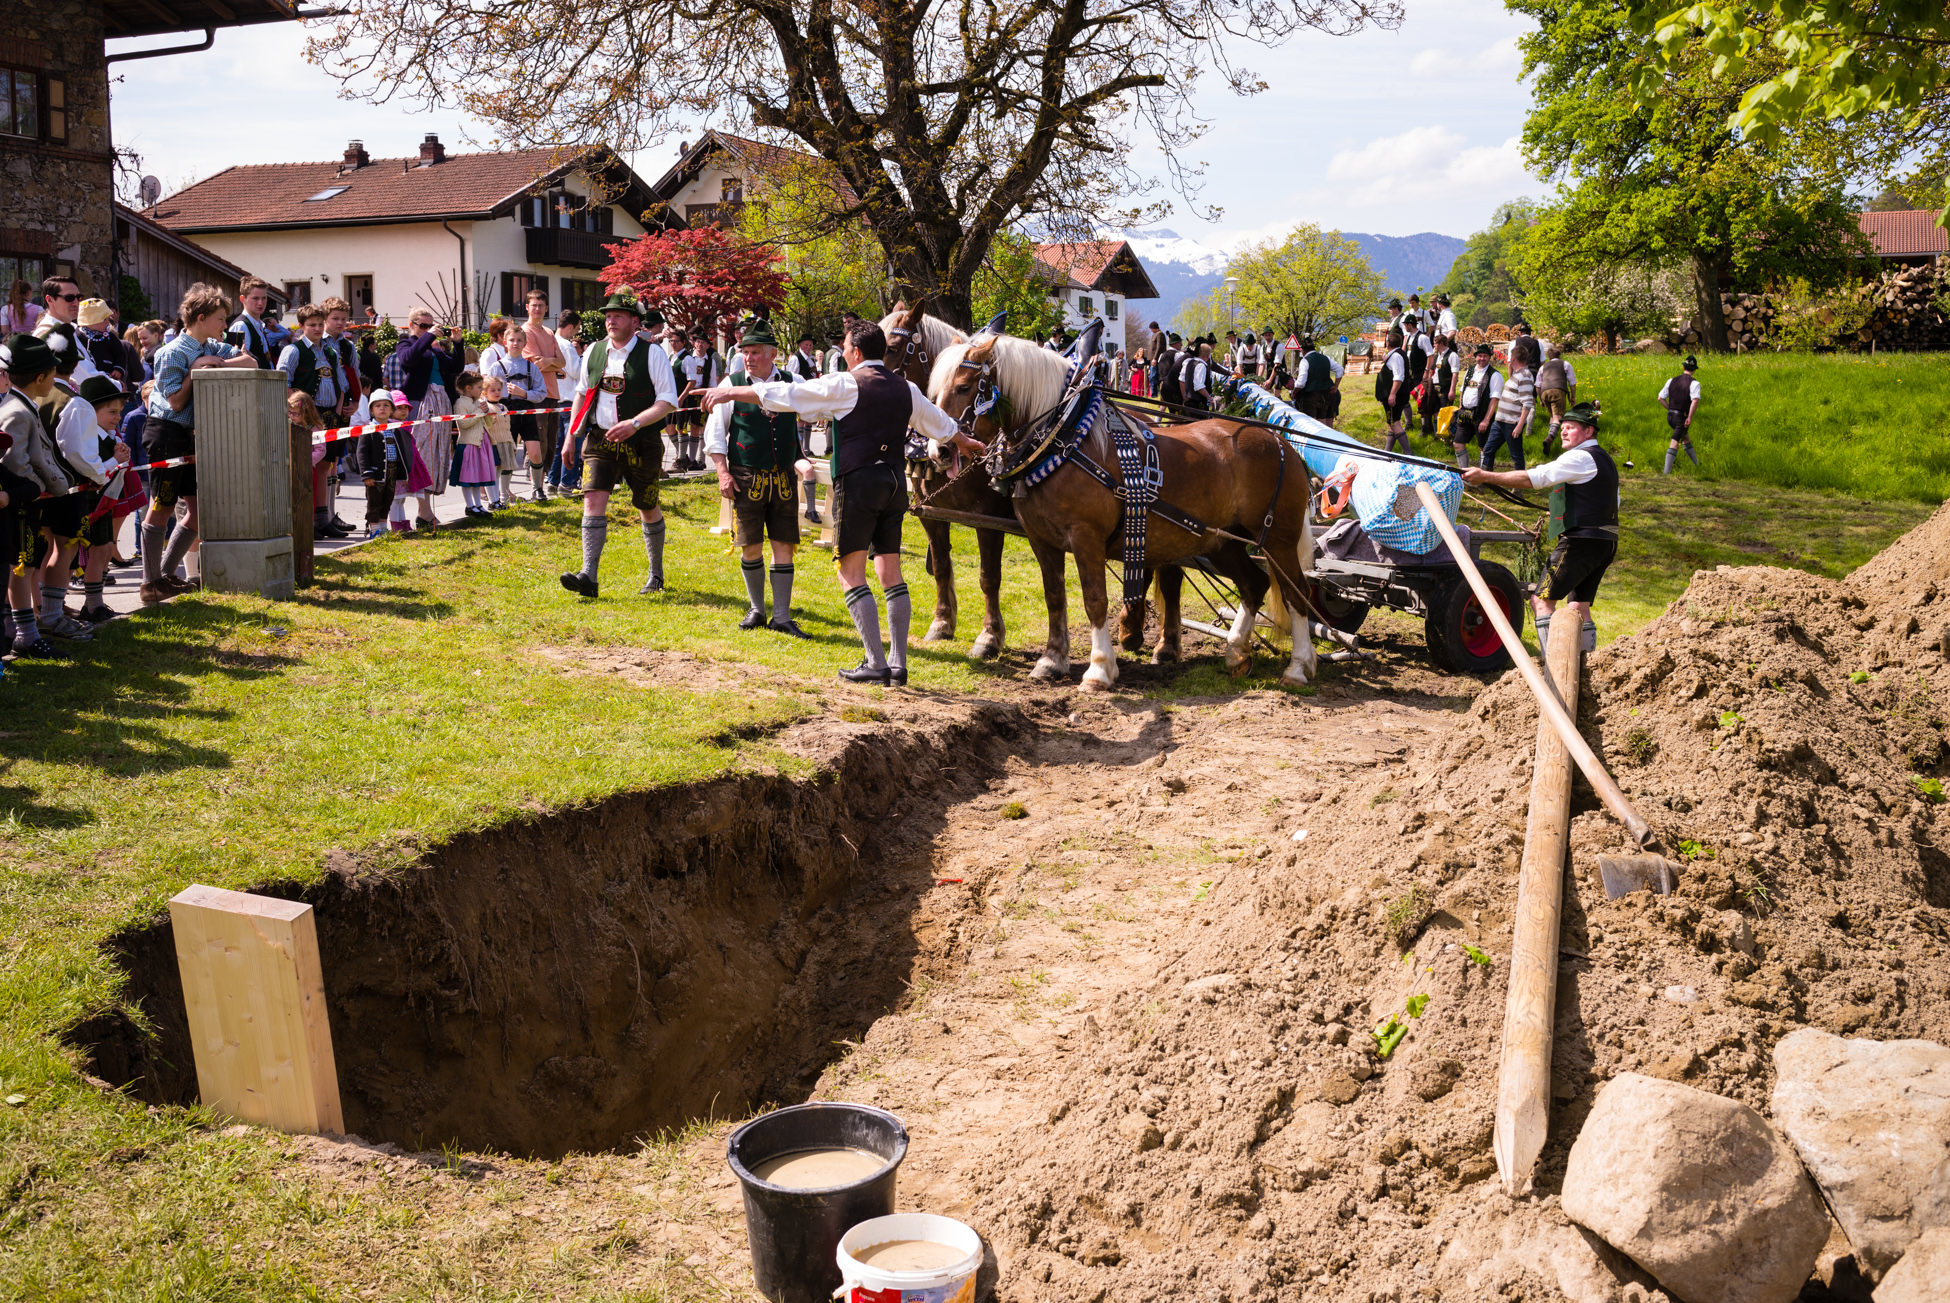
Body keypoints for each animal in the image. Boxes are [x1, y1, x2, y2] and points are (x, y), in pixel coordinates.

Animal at [929, 332, 1320, 692]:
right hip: (1223, 542)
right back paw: (1237, 652)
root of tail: (1283, 442)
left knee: (1297, 593)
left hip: (1278, 540)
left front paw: (1099, 669)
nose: (939, 451)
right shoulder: (1042, 539)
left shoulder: (1086, 537)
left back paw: (1299, 666)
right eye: (935, 391)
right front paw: (1052, 660)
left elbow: (1094, 599)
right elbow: (1054, 596)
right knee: (1255, 585)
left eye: (963, 386)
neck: (1063, 438)